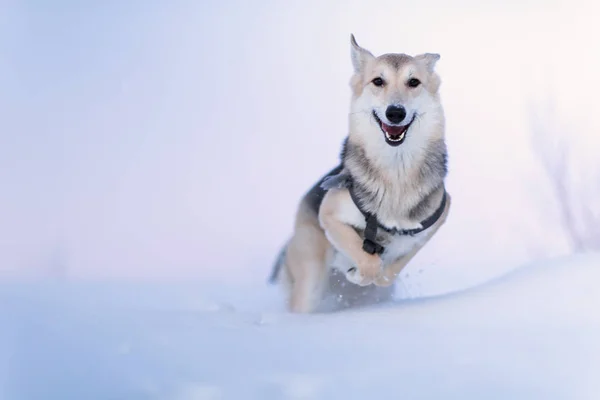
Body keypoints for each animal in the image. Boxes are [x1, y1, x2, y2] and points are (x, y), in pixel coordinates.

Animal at [268, 34, 450, 314]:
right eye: (378, 81)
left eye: (413, 82)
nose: (395, 112)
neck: (396, 173)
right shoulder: (330, 214)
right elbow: (366, 259)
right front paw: (360, 272)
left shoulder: (434, 222)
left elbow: (389, 273)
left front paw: (375, 271)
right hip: (310, 279)